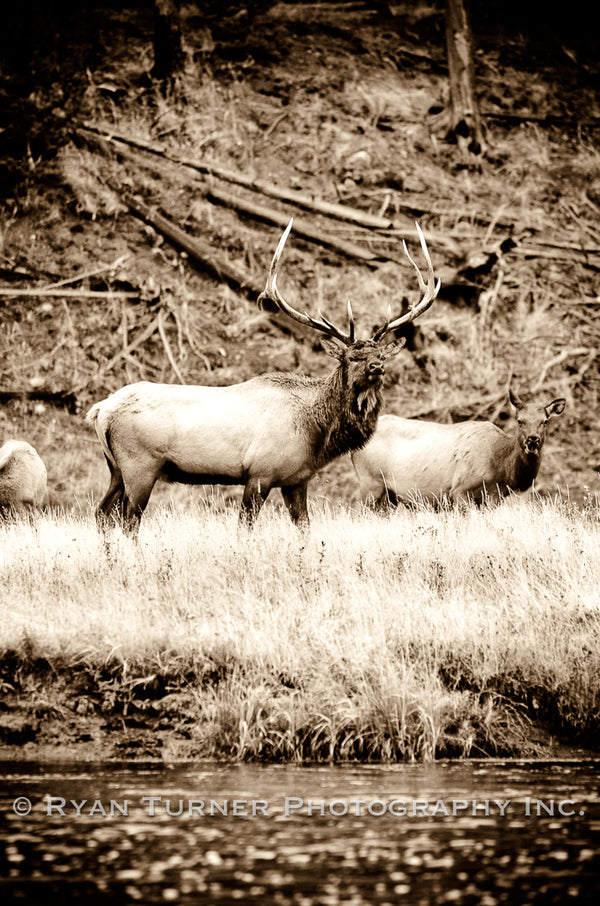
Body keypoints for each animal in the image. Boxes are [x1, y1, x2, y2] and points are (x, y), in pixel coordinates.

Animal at [85, 220, 440, 528]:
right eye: (352, 357)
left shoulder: (297, 479)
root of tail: (101, 410)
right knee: (128, 520)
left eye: (380, 355)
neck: (316, 435)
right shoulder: (260, 473)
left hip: (116, 469)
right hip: (140, 465)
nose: (377, 368)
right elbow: (245, 526)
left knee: (102, 515)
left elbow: (304, 527)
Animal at [352, 384, 564, 504]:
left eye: (545, 421)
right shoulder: (460, 489)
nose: (533, 439)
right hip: (371, 482)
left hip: (389, 495)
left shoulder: (494, 497)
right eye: (520, 421)